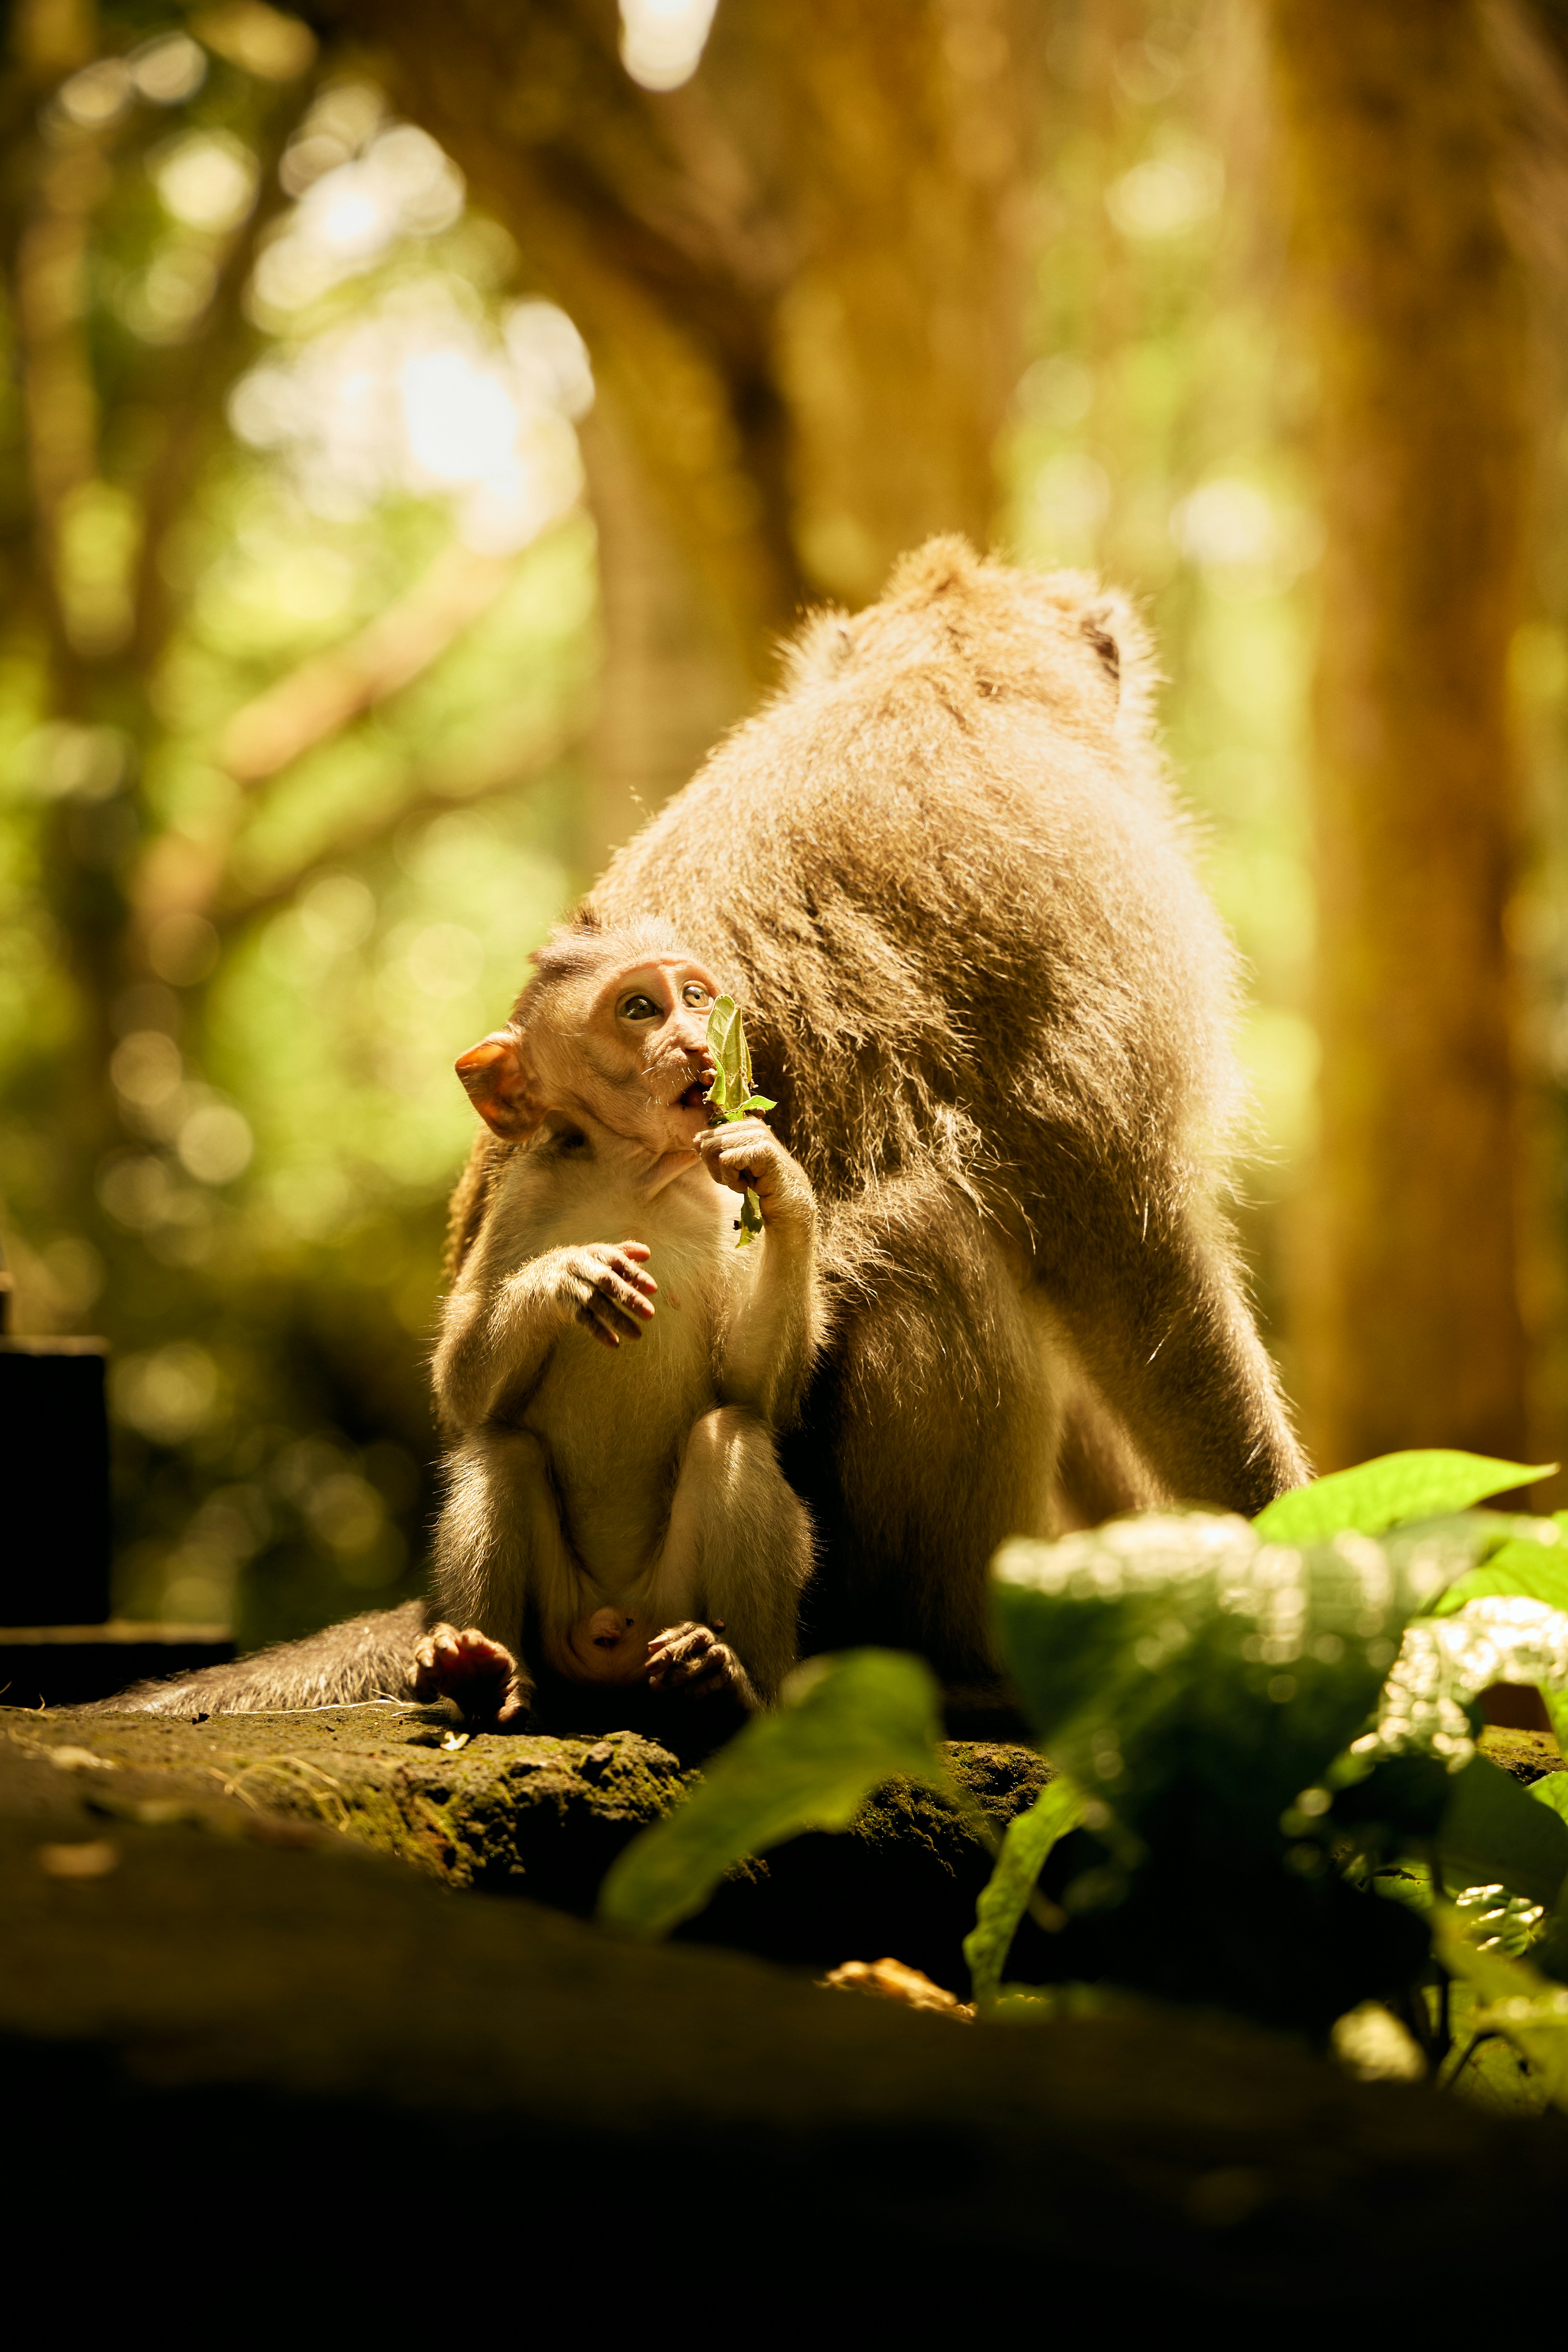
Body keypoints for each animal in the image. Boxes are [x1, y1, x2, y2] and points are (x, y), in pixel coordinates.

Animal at [98, 536, 1304, 1721]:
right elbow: (1124, 1239)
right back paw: (966, 1673)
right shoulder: (1098, 897)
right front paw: (1292, 1547)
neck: (941, 675)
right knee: (935, 1237)